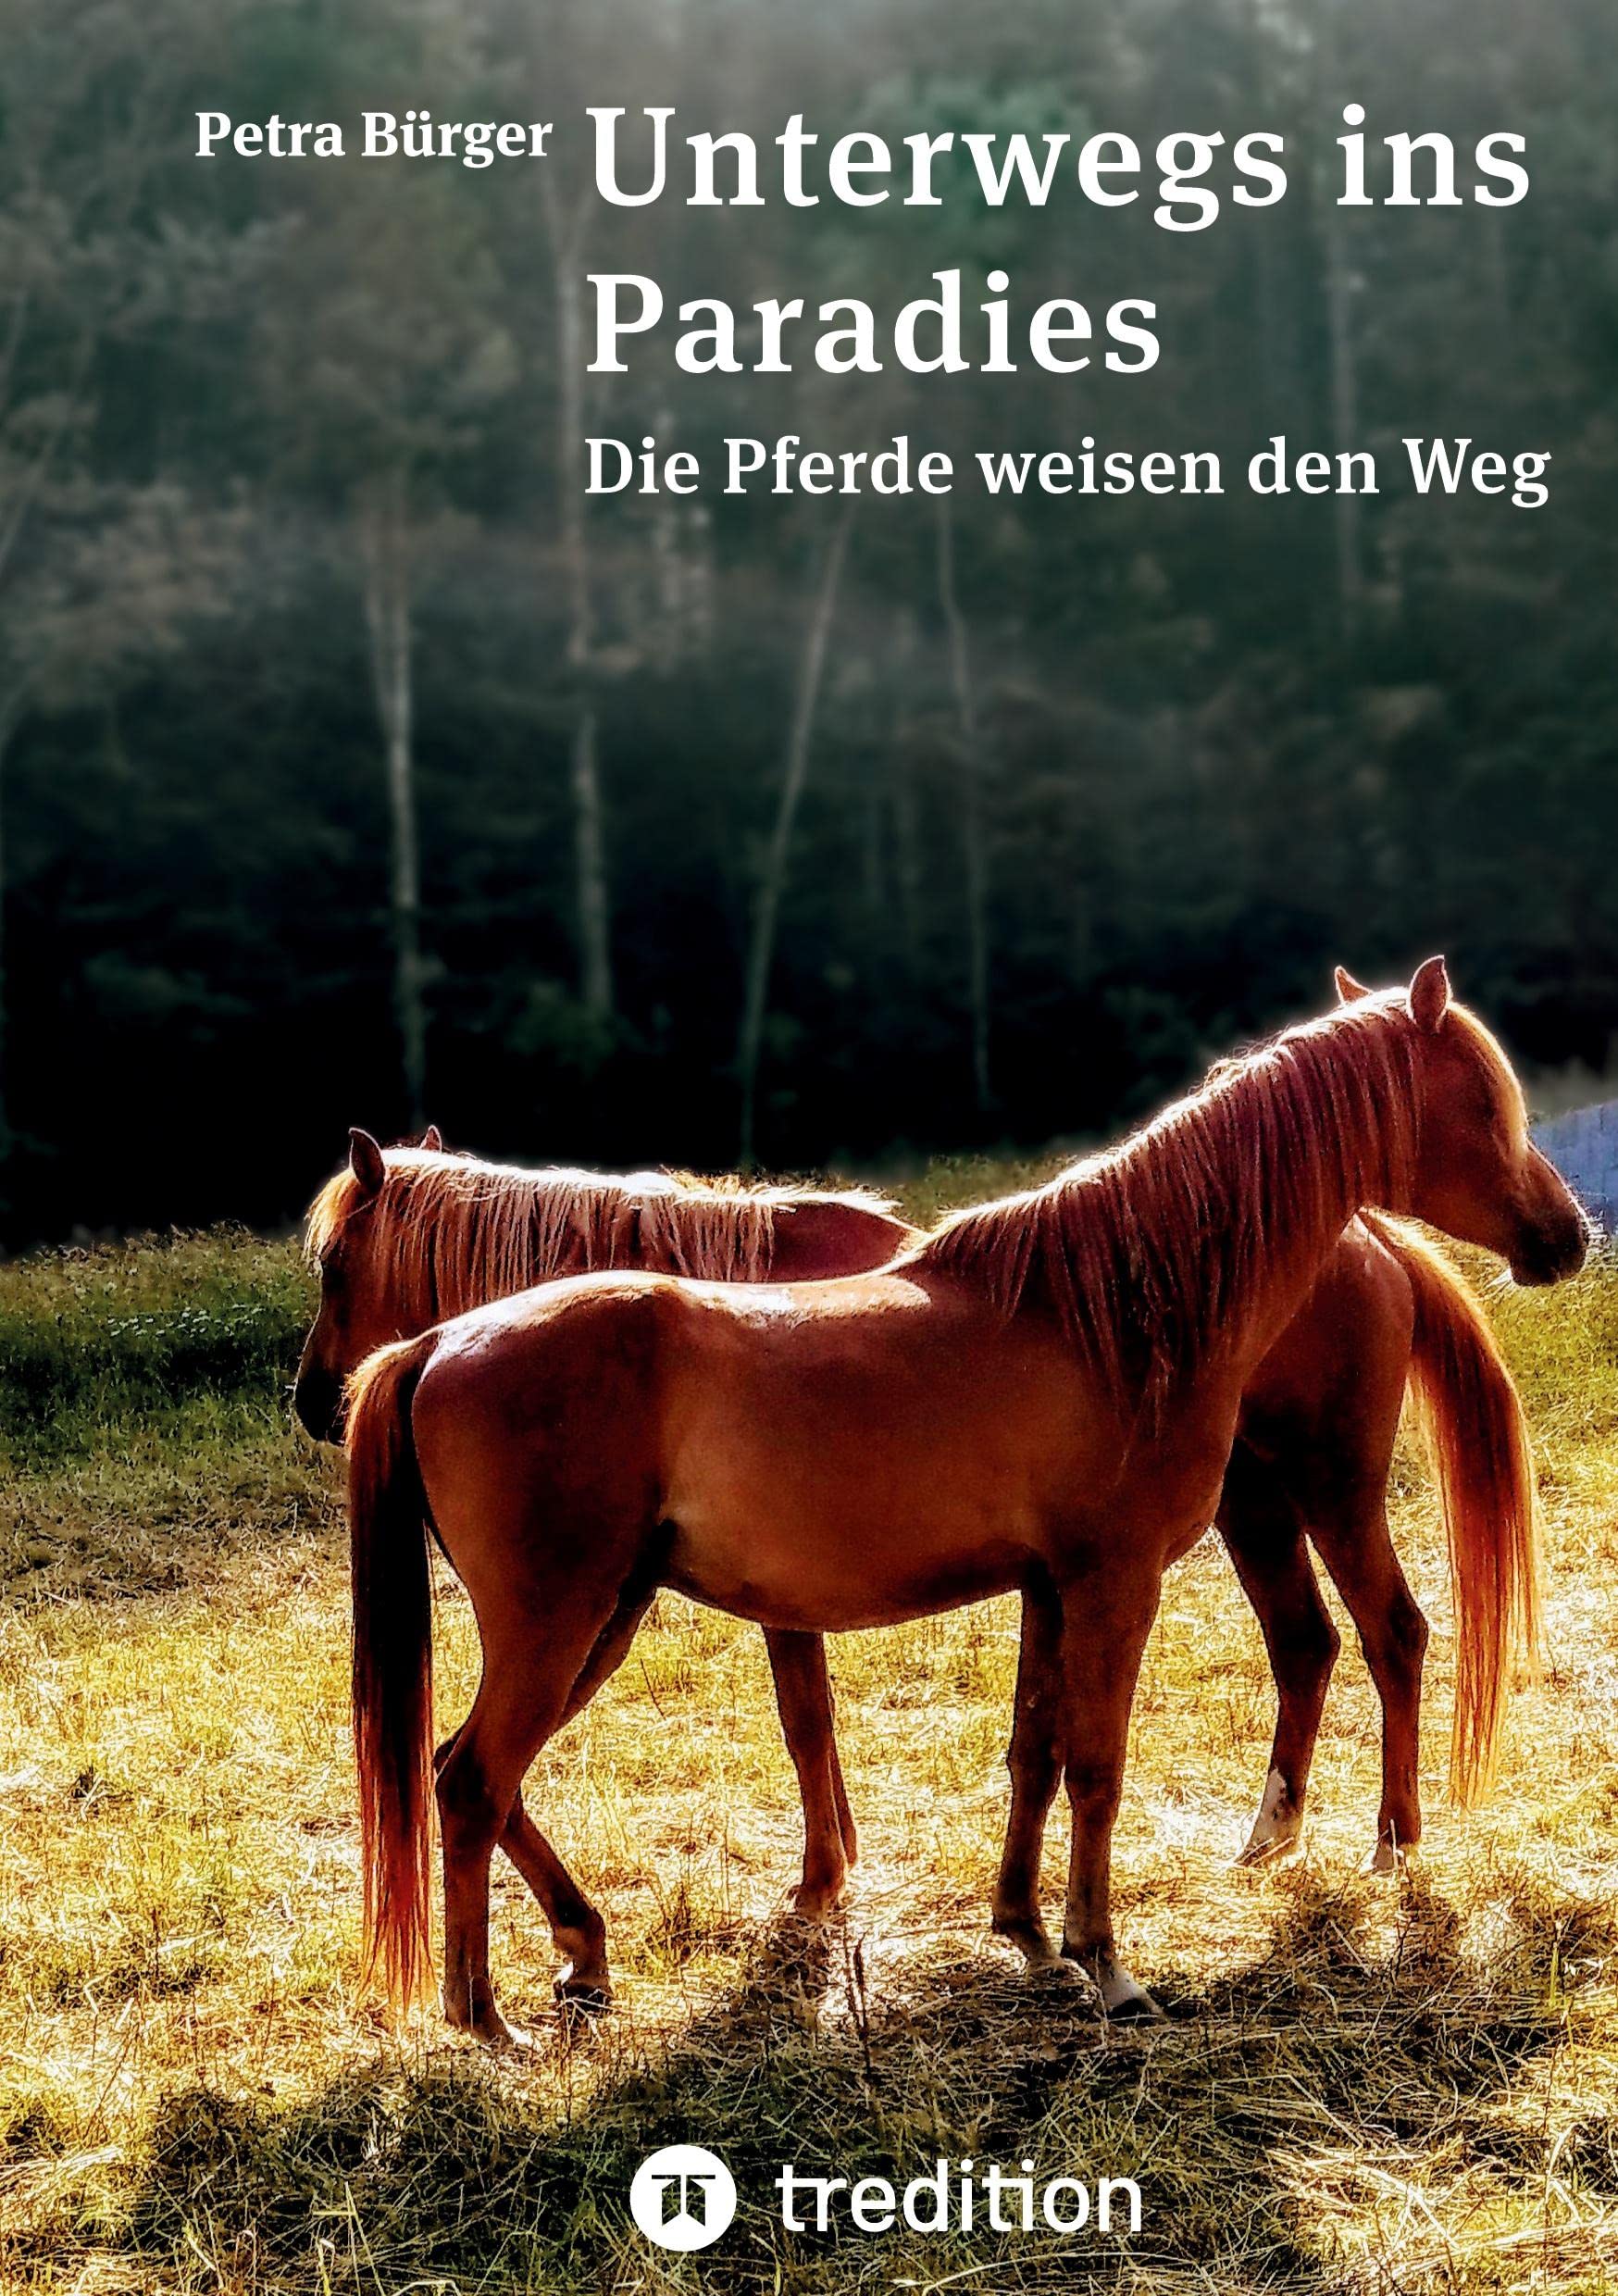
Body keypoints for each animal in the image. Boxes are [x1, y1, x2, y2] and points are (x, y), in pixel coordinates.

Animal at [341, 959, 1586, 2040]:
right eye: (1483, 1101)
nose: (1566, 1236)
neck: (1112, 1307)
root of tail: (436, 1343)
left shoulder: (1049, 1587)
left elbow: (1033, 1751)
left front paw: (1026, 1931)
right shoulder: (1110, 1583)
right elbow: (1094, 1765)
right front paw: (1104, 1962)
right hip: (570, 1621)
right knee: (471, 1781)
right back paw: (488, 2014)